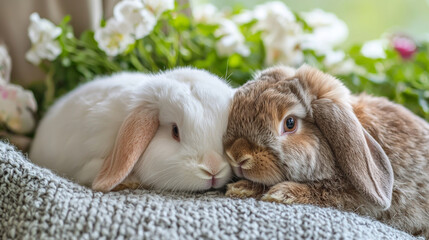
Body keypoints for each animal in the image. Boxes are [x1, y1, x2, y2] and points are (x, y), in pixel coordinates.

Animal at [224, 64, 428, 237]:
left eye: (290, 123)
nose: (237, 156)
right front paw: (240, 187)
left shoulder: (354, 198)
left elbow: (327, 192)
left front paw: (281, 193)